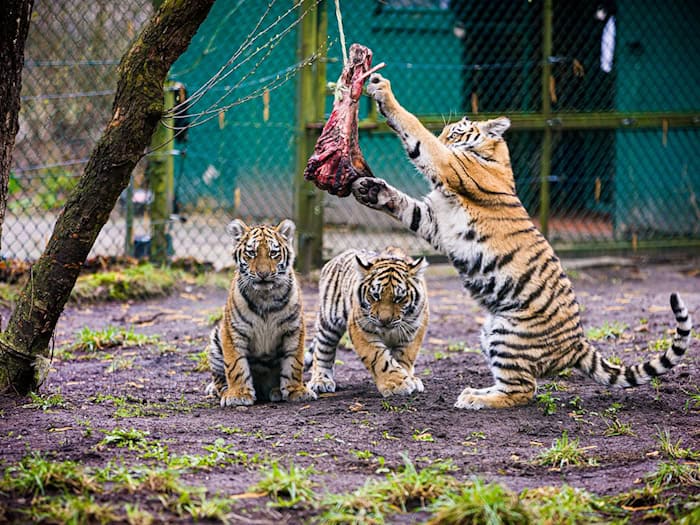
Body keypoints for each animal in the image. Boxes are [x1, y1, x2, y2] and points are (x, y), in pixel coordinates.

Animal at [205, 219, 316, 406]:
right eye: (251, 253)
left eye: (273, 253)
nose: (263, 274)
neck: (265, 296)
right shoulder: (233, 331)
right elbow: (236, 365)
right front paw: (238, 395)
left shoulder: (294, 329)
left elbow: (294, 363)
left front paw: (297, 391)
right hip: (215, 338)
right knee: (219, 379)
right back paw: (221, 389)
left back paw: (276, 390)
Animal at [305, 247, 429, 397]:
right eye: (375, 295)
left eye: (399, 298)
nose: (384, 320)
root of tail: (337, 257)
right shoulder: (361, 327)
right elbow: (379, 358)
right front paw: (396, 383)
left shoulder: (415, 328)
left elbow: (405, 357)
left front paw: (409, 378)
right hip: (329, 322)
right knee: (322, 351)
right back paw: (321, 381)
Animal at [350, 72, 693, 409]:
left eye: (455, 133)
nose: (446, 136)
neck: (493, 157)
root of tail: (578, 344)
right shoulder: (435, 221)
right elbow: (406, 205)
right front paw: (371, 190)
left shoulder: (448, 167)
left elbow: (415, 129)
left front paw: (383, 91)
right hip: (491, 329)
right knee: (521, 384)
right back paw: (477, 392)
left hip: (508, 335)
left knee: (523, 391)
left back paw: (474, 398)